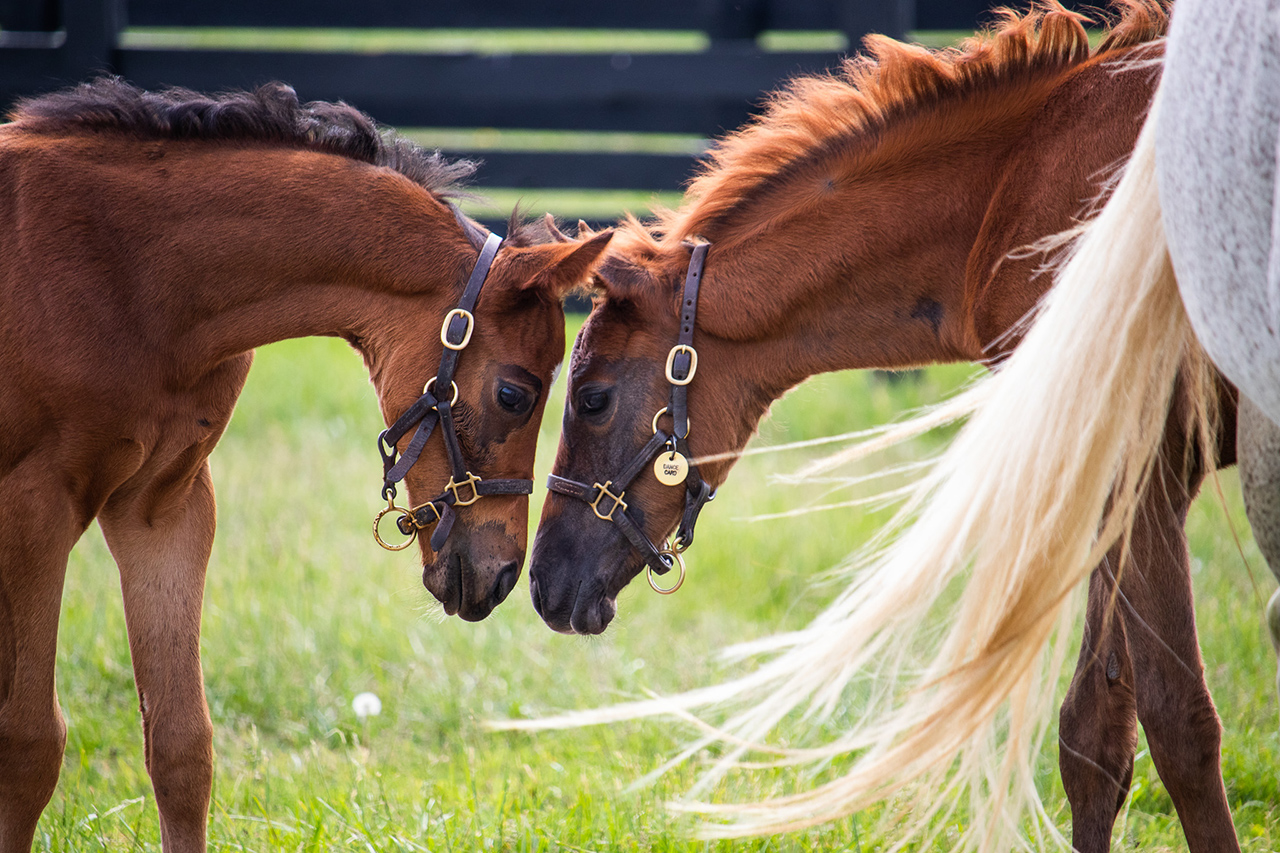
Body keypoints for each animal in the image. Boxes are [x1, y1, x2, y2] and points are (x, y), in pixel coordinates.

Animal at [527, 3, 1239, 845]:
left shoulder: (1145, 466)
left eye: (592, 397)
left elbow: (1178, 721)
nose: (543, 582)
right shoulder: (1103, 474)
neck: (1013, 193)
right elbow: (1095, 734)